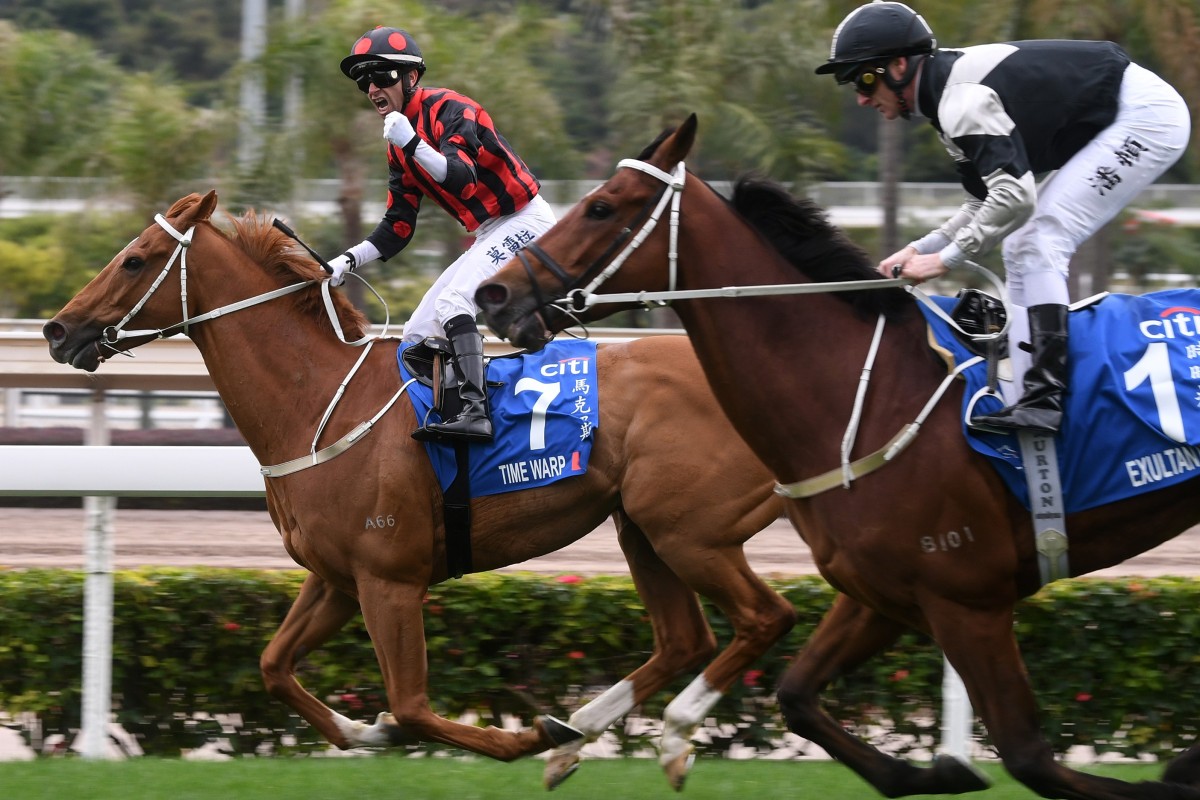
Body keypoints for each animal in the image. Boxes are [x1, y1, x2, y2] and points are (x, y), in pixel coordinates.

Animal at [42, 190, 796, 791]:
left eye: (135, 260)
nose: (56, 329)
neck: (316, 402)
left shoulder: (389, 580)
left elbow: (411, 705)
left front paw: (521, 736)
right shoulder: (337, 579)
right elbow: (274, 667)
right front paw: (365, 732)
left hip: (690, 532)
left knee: (765, 617)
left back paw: (648, 735)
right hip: (642, 529)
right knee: (684, 639)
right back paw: (581, 732)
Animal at [477, 113, 1200, 800]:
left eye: (601, 206)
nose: (494, 294)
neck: (869, 393)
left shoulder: (969, 600)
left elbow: (1030, 756)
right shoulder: (883, 592)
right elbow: (797, 697)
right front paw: (939, 772)